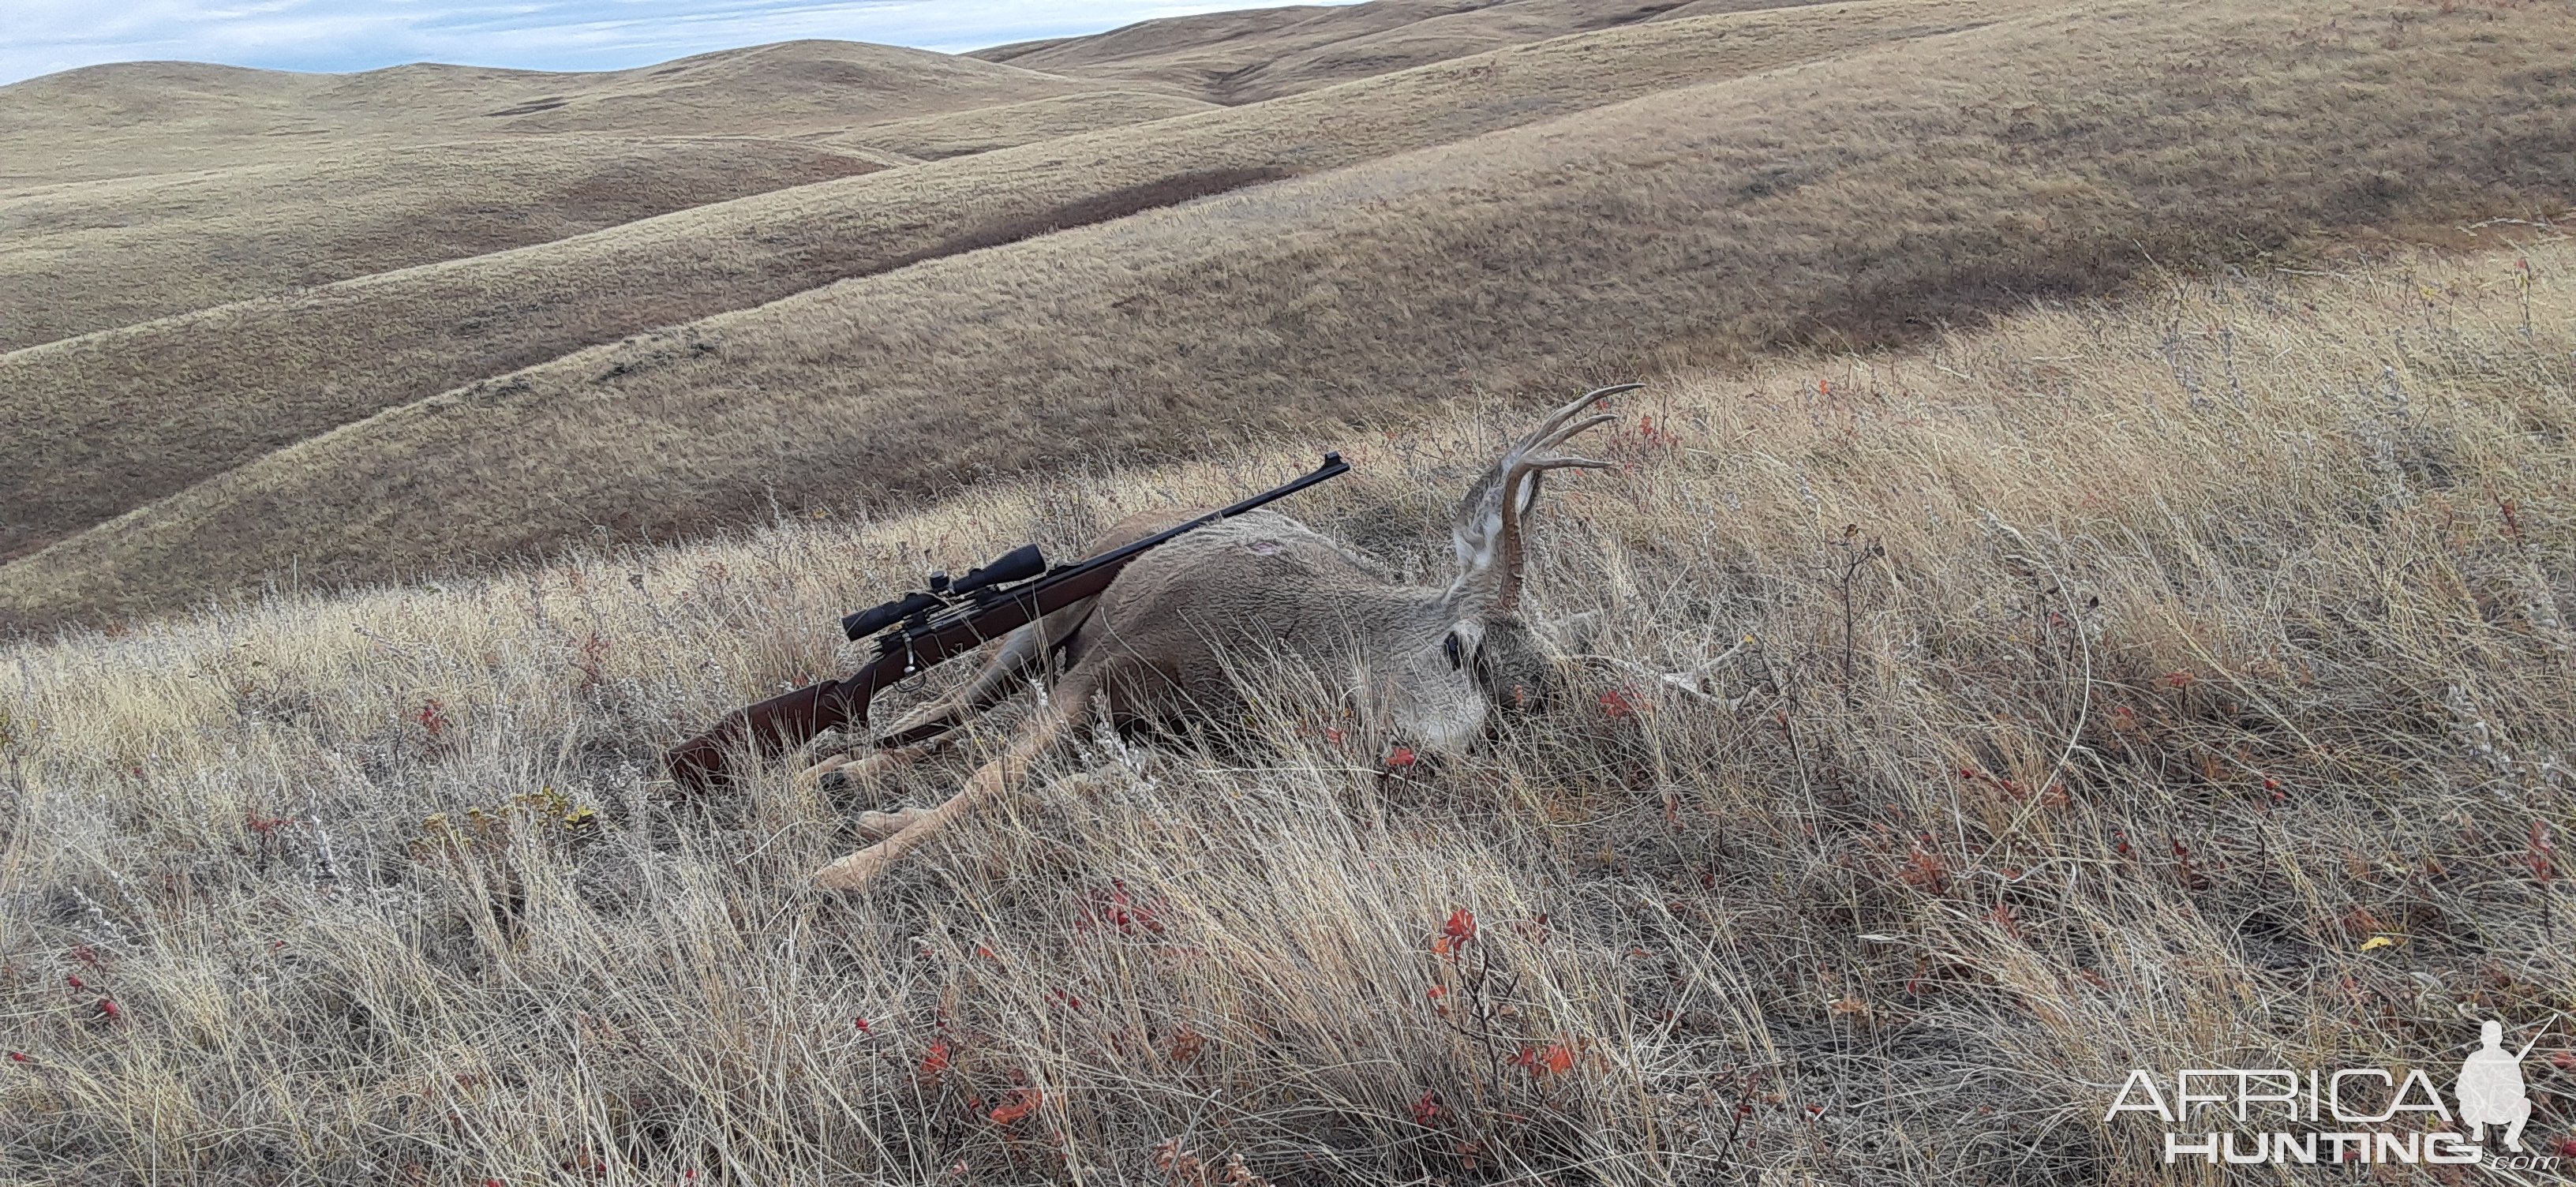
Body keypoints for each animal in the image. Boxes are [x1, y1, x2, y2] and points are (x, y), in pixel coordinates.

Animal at [803, 380, 1627, 886]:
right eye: (1457, 648)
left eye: (1530, 707)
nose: (1443, 754)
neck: (1276, 646)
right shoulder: (1104, 668)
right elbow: (993, 779)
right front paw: (847, 868)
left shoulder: (1198, 747)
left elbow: (1055, 795)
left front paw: (883, 825)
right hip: (1036, 631)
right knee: (944, 711)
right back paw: (838, 770)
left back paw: (847, 776)